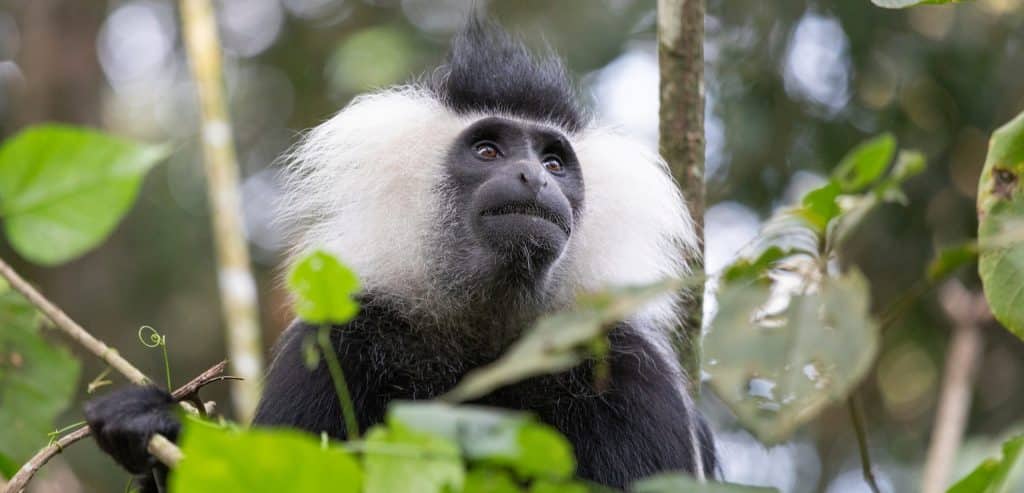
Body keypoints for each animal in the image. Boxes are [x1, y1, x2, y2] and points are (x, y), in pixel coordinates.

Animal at [84, 17, 717, 491]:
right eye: (488, 150)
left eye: (555, 162)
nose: (534, 177)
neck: (488, 338)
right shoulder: (333, 345)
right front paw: (151, 429)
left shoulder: (632, 373)